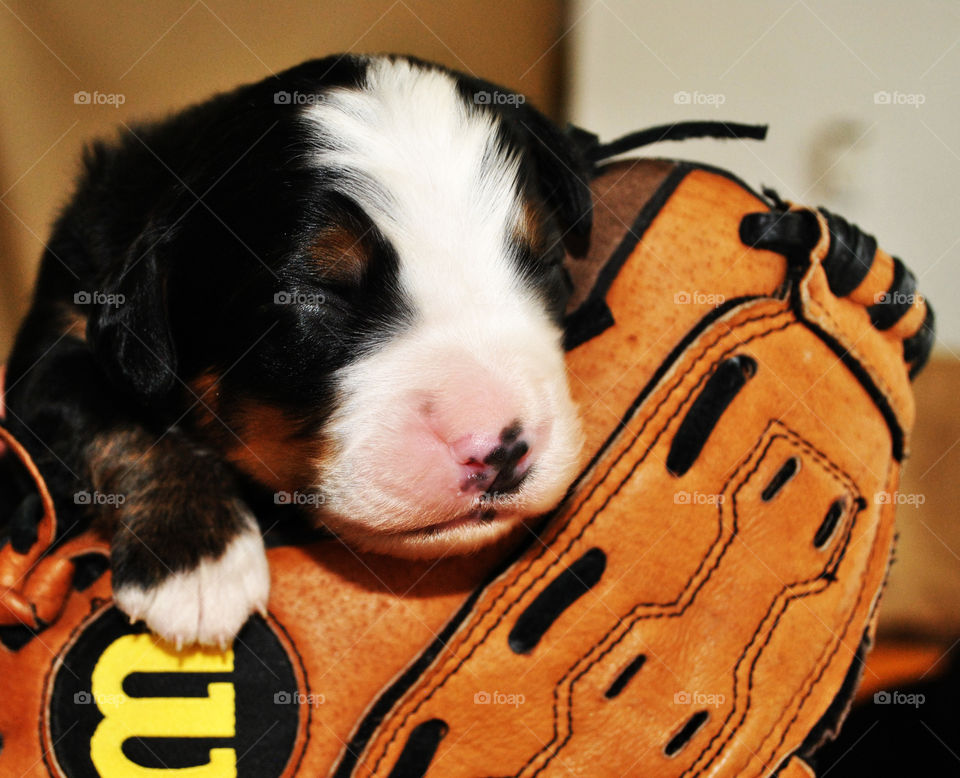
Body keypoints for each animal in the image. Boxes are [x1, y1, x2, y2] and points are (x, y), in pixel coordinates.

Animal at [3, 54, 592, 644]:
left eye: (545, 263)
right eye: (316, 294)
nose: (502, 450)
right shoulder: (55, 340)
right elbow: (116, 419)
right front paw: (197, 559)